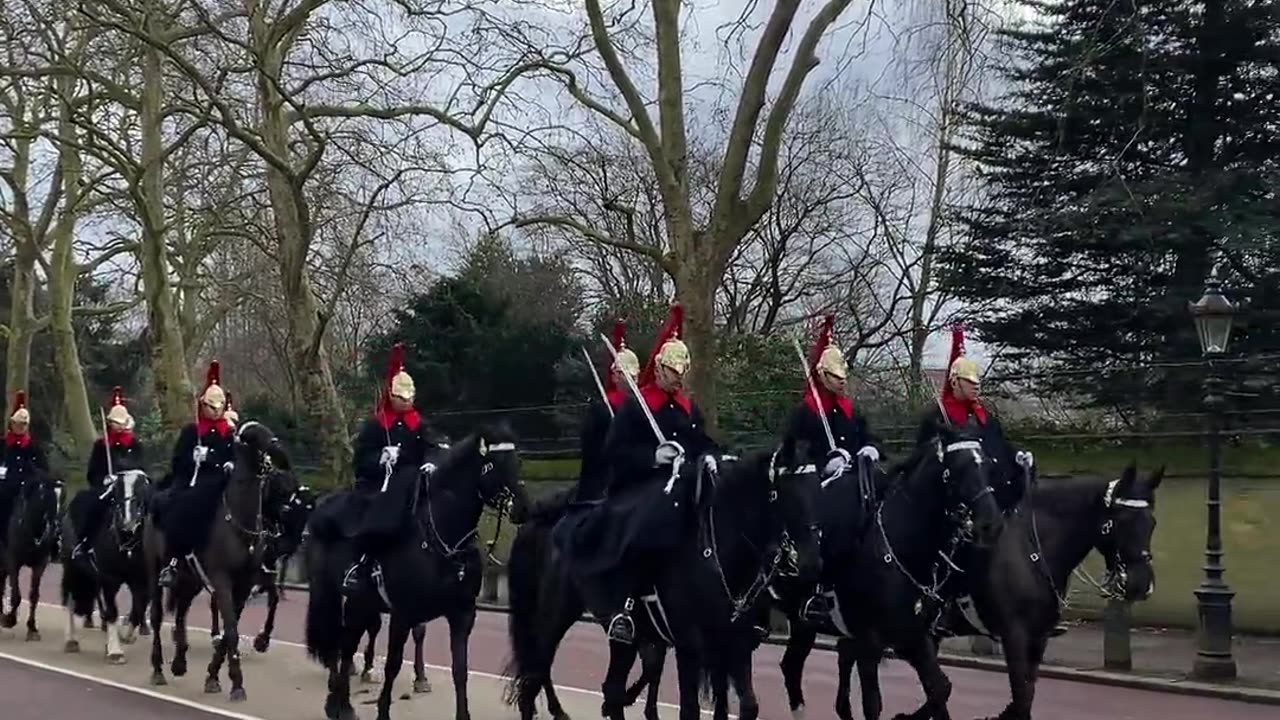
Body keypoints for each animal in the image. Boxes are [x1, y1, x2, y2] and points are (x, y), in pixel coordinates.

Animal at [0, 466, 62, 638]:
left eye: (62, 498)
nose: (56, 528)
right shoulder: (13, 562)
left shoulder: (40, 564)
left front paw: (32, 628)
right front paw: (9, 620)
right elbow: (16, 595)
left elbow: (34, 595)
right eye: (45, 497)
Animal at [60, 466, 153, 661]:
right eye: (116, 492)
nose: (127, 523)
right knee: (69, 600)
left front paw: (126, 637)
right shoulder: (110, 579)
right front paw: (115, 651)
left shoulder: (141, 580)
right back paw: (71, 640)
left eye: (143, 491)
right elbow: (112, 612)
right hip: (71, 568)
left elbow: (138, 609)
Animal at [144, 417, 295, 696]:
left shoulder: (245, 584)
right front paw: (236, 683)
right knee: (158, 615)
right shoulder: (222, 580)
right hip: (155, 569)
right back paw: (158, 669)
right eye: (252, 437)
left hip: (190, 579)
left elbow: (229, 629)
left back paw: (179, 662)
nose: (281, 455)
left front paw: (214, 676)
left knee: (181, 613)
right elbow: (231, 630)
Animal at [304, 420, 529, 717]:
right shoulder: (403, 613)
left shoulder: (462, 615)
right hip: (330, 592)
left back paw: (342, 704)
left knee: (348, 639)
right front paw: (383, 712)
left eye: (518, 461)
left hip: (359, 601)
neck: (443, 539)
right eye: (494, 463)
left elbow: (460, 669)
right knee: (337, 637)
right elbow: (393, 664)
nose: (524, 508)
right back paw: (336, 698)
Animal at [504, 448, 824, 717]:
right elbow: (690, 708)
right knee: (535, 673)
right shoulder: (690, 644)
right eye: (783, 493)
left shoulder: (735, 642)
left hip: (623, 633)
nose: (811, 562)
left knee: (611, 688)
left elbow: (747, 705)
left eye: (817, 488)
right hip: (555, 616)